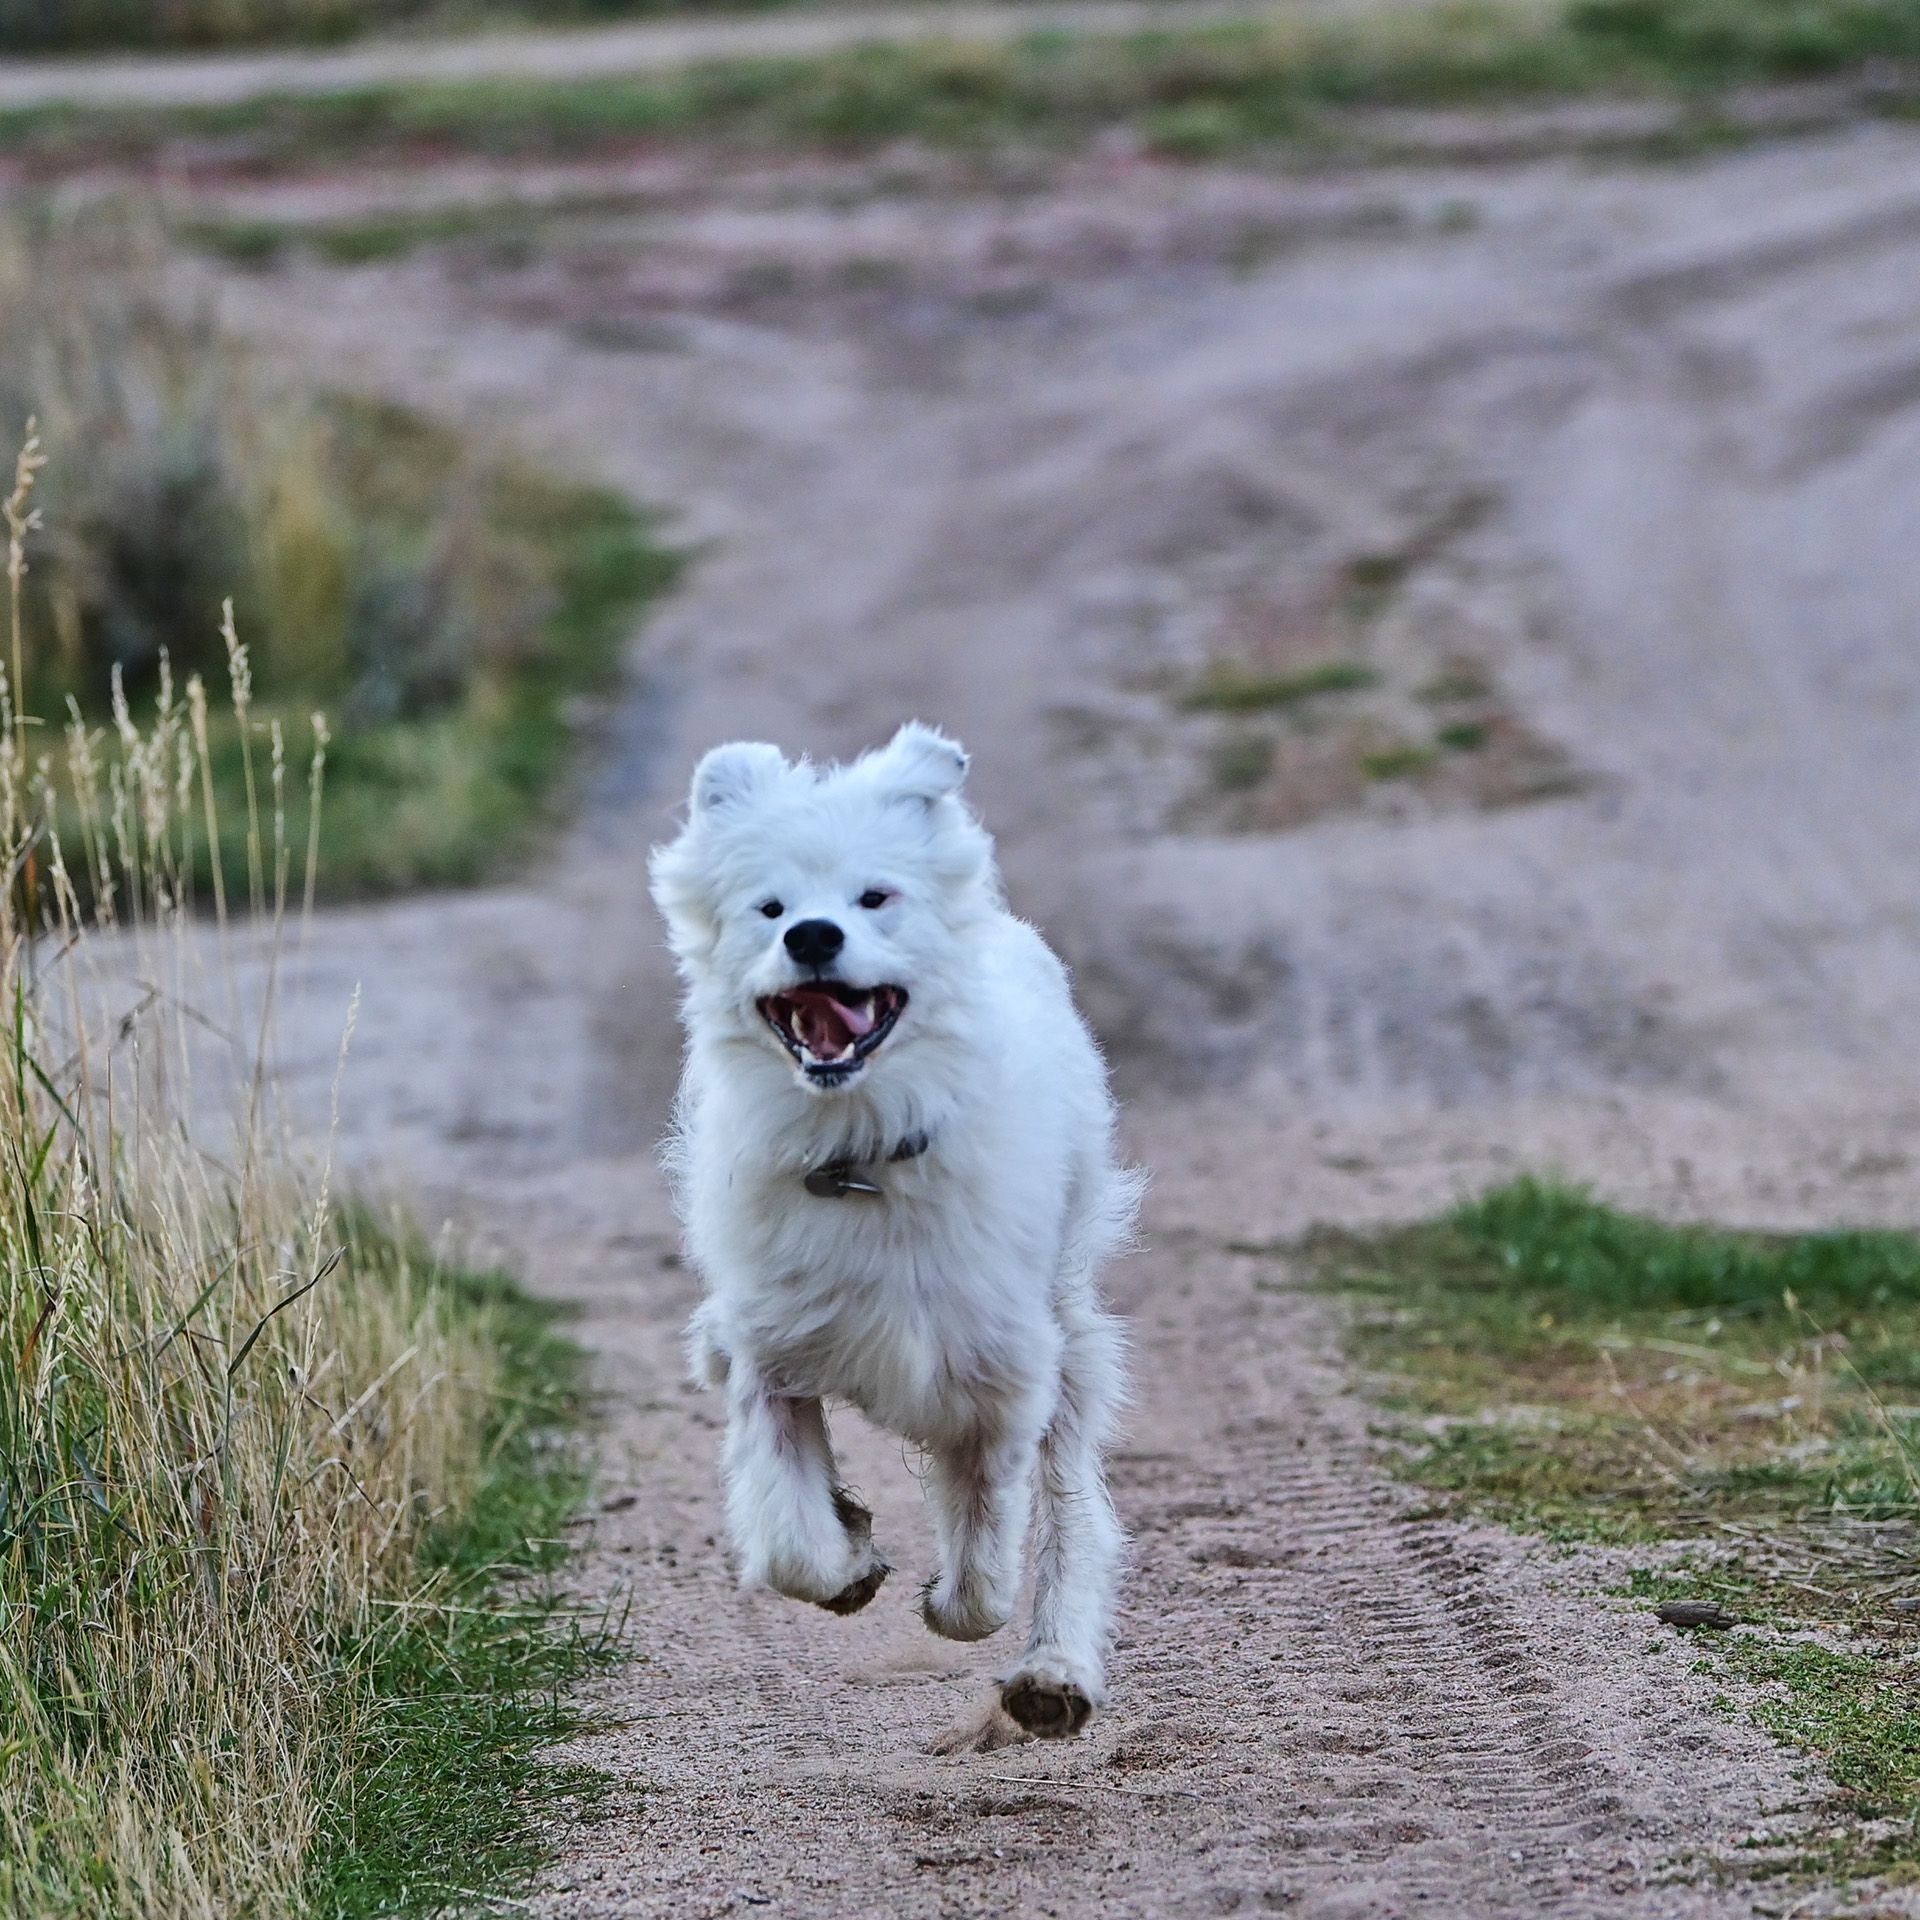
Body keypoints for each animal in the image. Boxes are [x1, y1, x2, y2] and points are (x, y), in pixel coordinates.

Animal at [656, 721, 1136, 1743]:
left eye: (876, 897)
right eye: (768, 908)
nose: (811, 934)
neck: (860, 1147)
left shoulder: (1001, 1380)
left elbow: (985, 1566)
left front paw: (949, 1599)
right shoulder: (775, 1355)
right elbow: (791, 1539)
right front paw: (851, 1558)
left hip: (1071, 1334)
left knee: (1072, 1508)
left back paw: (1054, 1674)